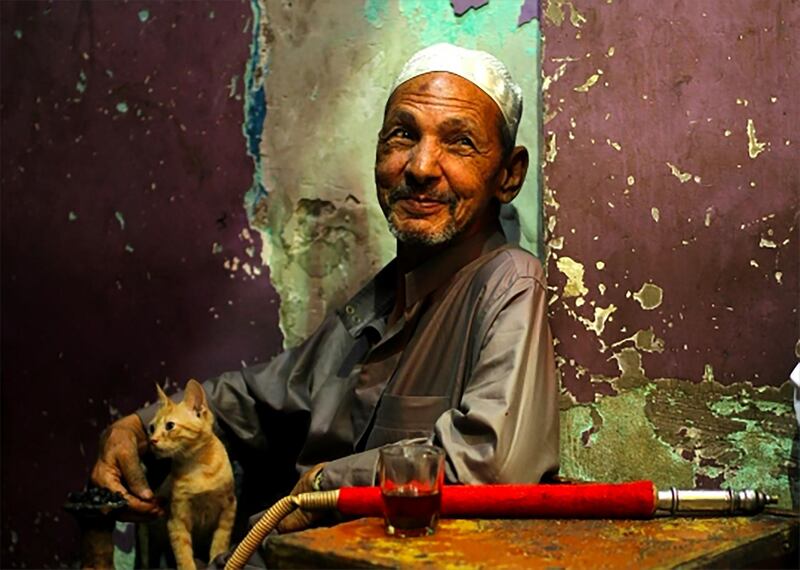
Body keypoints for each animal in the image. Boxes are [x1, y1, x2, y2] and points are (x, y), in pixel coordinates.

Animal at [149, 378, 238, 568]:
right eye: (152, 428)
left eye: (169, 426)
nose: (152, 440)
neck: (198, 467)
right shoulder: (176, 520)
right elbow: (183, 554)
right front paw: (189, 565)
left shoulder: (229, 507)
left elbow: (220, 540)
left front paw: (218, 558)